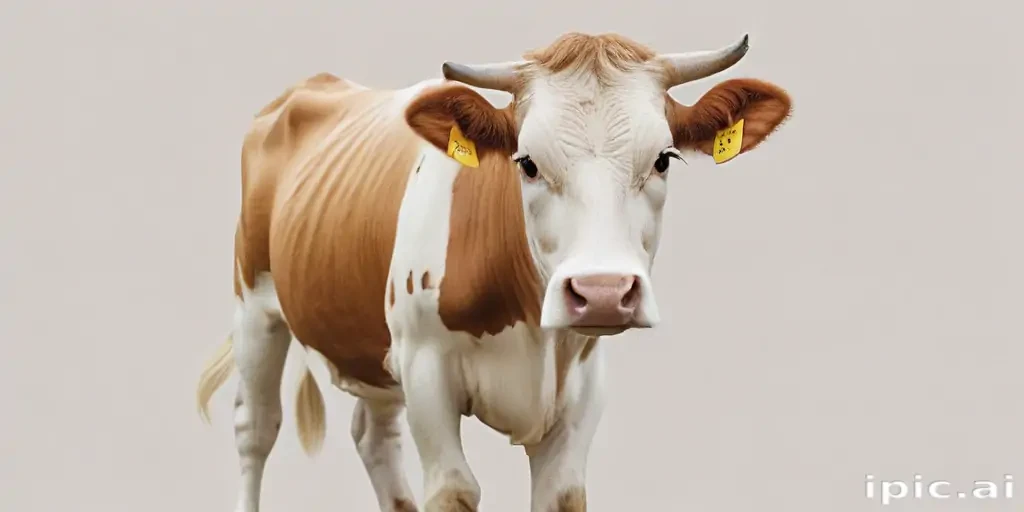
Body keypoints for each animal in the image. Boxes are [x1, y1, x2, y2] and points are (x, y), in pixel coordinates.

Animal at [195, 31, 792, 512]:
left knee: (373, 435)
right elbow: (454, 489)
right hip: (255, 306)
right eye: (526, 163)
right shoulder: (424, 365)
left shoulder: (585, 382)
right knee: (256, 428)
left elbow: (562, 492)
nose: (601, 292)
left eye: (665, 158)